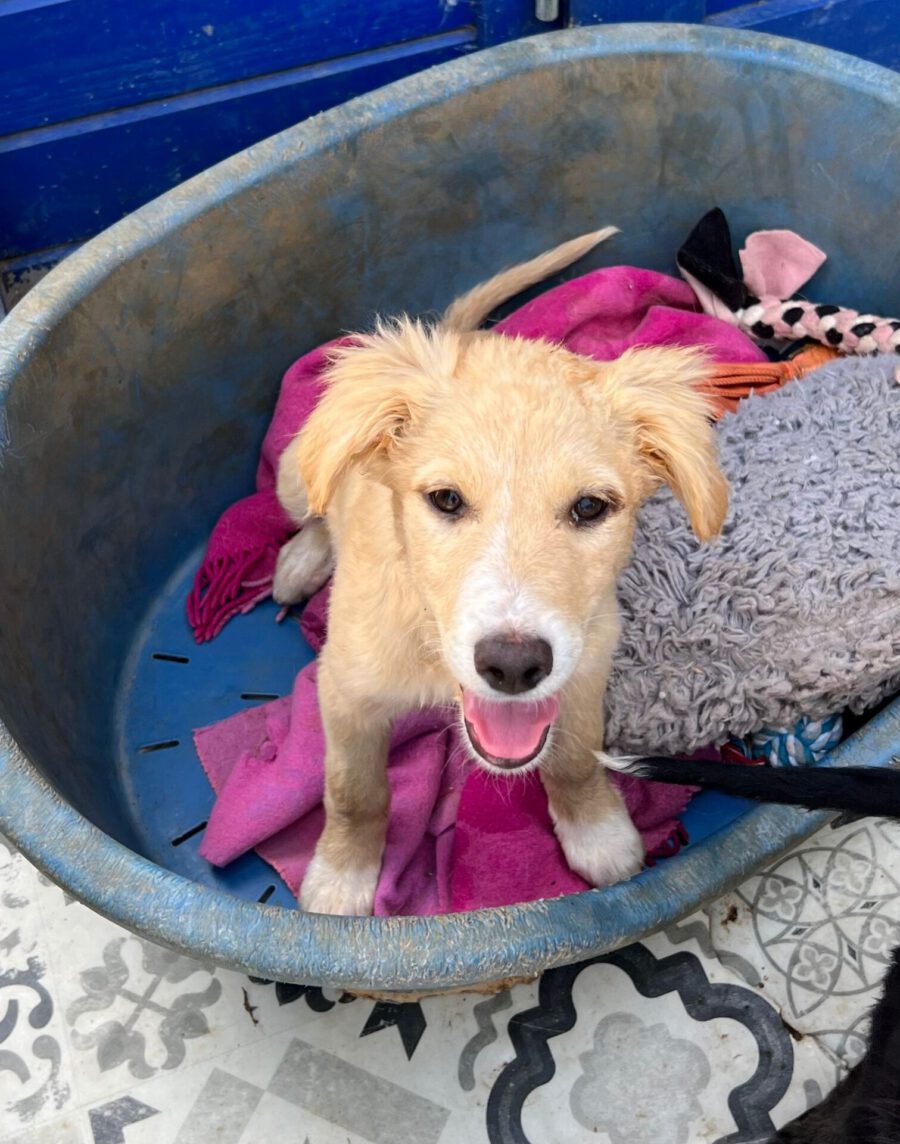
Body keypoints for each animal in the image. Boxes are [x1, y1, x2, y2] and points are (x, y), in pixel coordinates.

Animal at [272, 230, 729, 917]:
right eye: (446, 500)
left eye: (590, 507)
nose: (514, 666)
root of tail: (461, 334)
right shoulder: (346, 690)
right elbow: (355, 792)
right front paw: (341, 876)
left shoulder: (588, 660)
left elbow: (575, 757)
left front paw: (598, 832)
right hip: (297, 473)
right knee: (317, 504)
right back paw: (301, 559)